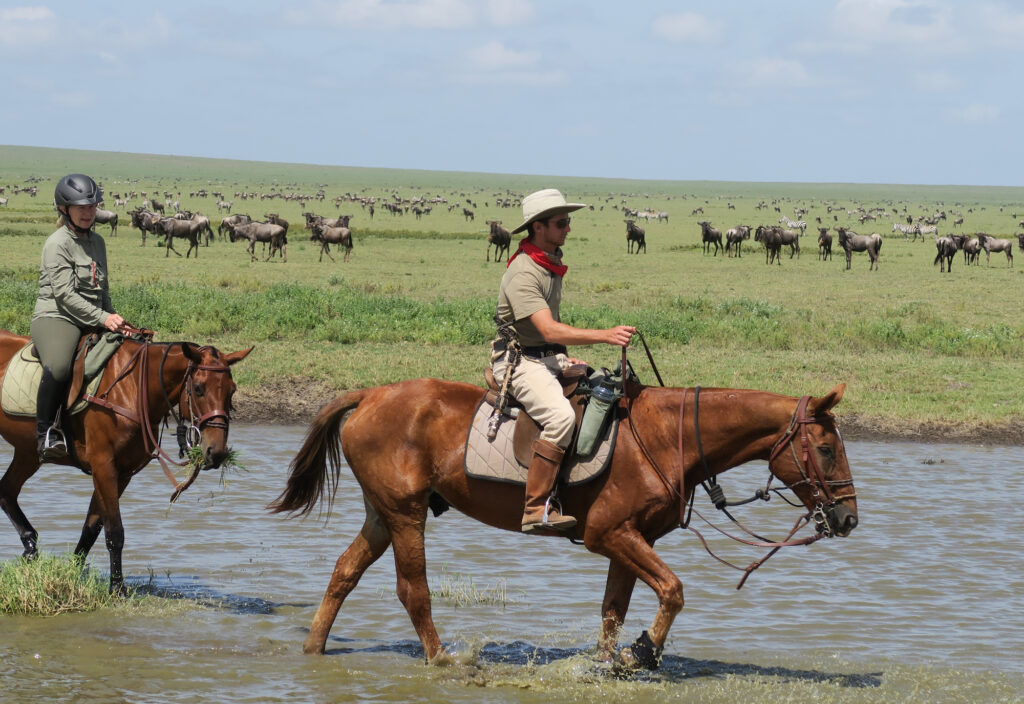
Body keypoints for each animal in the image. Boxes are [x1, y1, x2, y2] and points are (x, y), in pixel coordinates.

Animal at [0, 329, 252, 592]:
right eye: (199, 388)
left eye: (231, 391)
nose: (217, 452)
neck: (132, 388)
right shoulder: (104, 467)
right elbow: (114, 531)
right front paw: (117, 588)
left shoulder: (123, 474)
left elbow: (92, 527)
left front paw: (74, 571)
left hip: (28, 453)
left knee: (6, 490)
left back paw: (30, 546)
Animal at [269, 377, 858, 669]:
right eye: (827, 449)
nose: (849, 518)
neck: (665, 437)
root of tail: (370, 394)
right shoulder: (611, 536)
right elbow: (672, 590)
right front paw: (643, 653)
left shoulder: (630, 540)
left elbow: (613, 610)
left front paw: (613, 661)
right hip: (404, 514)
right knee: (413, 589)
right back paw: (441, 659)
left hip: (382, 513)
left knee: (344, 572)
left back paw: (314, 650)